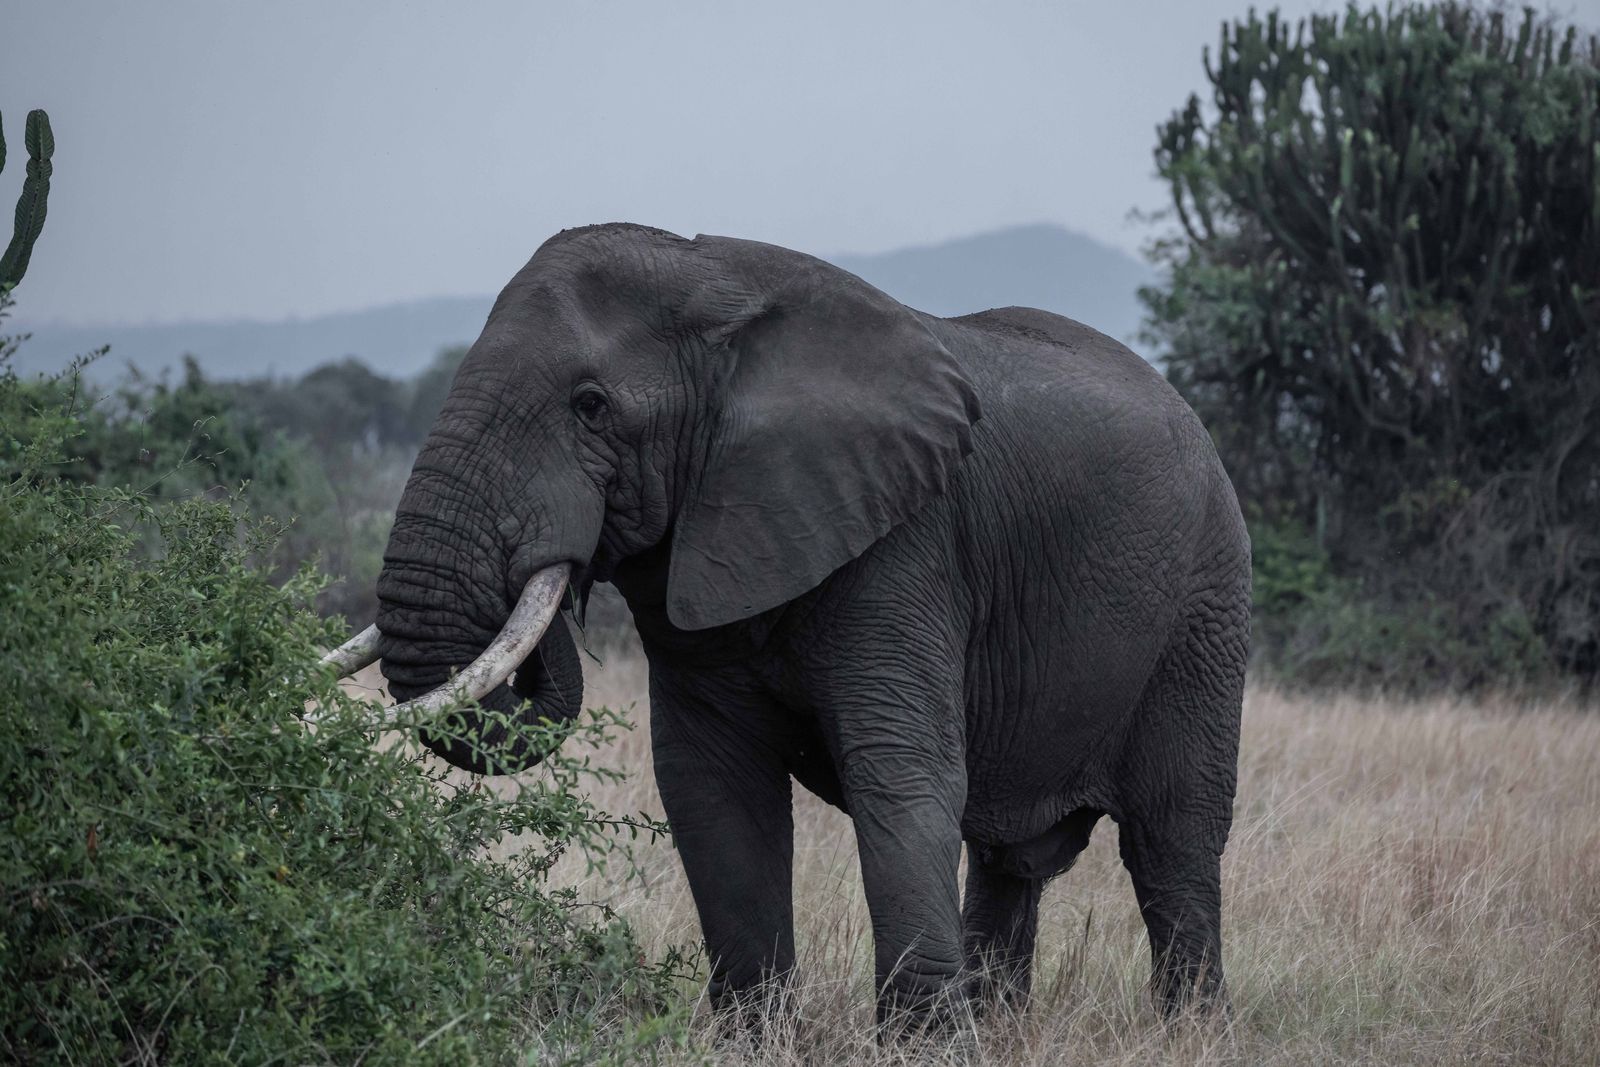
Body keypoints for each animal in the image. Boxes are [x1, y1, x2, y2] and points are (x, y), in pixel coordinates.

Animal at [325, 223, 1250, 1033]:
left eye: (590, 406)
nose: (557, 564)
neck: (717, 291)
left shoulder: (905, 542)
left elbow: (900, 773)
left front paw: (923, 1047)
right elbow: (712, 789)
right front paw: (757, 1041)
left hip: (1205, 607)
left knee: (1172, 837)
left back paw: (1189, 1032)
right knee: (1008, 857)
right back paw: (1004, 1026)